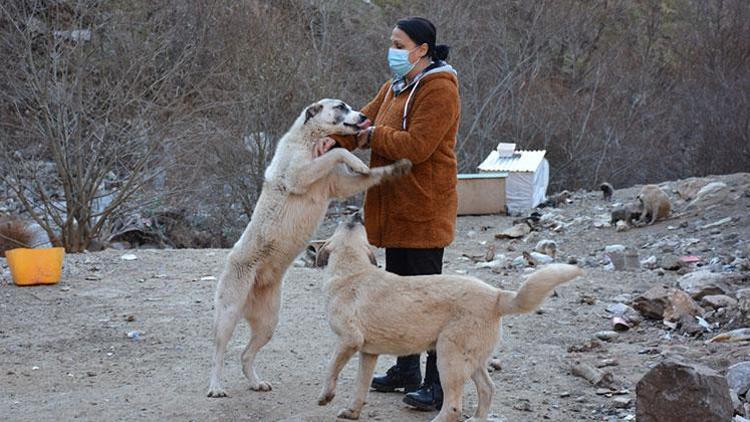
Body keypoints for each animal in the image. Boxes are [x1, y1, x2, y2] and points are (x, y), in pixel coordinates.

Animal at [206, 99, 412, 398]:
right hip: (229, 313)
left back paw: (256, 382)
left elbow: (367, 172)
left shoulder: (340, 184)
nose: (364, 116)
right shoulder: (299, 174)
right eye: (340, 106)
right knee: (219, 352)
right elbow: (336, 151)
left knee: (245, 355)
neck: (308, 138)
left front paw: (397, 167)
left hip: (268, 323)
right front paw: (358, 160)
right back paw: (216, 386)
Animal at [318, 214, 588, 422]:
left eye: (348, 224)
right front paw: (352, 412)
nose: (355, 215)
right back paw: (478, 418)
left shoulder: (349, 341)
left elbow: (331, 367)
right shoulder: (368, 353)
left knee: (454, 406)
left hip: (448, 357)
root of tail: (496, 295)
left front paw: (326, 396)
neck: (352, 270)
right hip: (471, 359)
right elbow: (360, 387)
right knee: (487, 389)